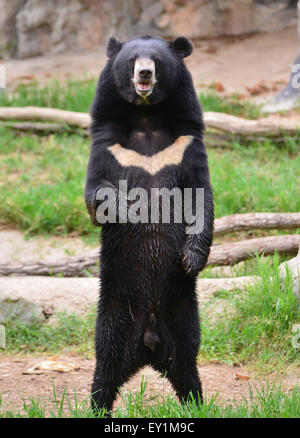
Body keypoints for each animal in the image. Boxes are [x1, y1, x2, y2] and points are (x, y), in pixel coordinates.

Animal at [85, 35, 213, 414]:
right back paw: (97, 405)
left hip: (183, 312)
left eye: (156, 60)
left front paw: (191, 258)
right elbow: (95, 192)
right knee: (106, 361)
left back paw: (197, 402)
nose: (144, 73)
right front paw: (128, 206)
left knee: (187, 361)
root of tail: (148, 345)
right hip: (114, 309)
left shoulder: (186, 143)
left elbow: (201, 195)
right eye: (132, 61)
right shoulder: (107, 145)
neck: (145, 116)